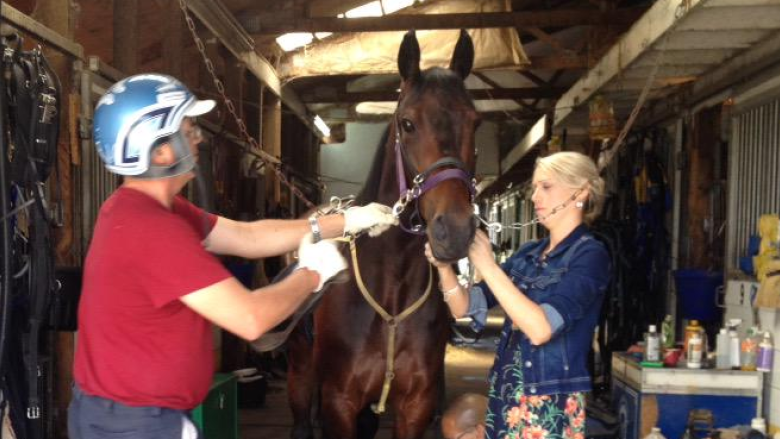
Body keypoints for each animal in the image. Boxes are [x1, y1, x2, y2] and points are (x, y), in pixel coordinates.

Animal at [288, 31, 482, 439]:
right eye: (407, 123)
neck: (392, 291)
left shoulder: (415, 406)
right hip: (300, 368)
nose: (454, 230)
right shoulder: (339, 402)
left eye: (476, 121)